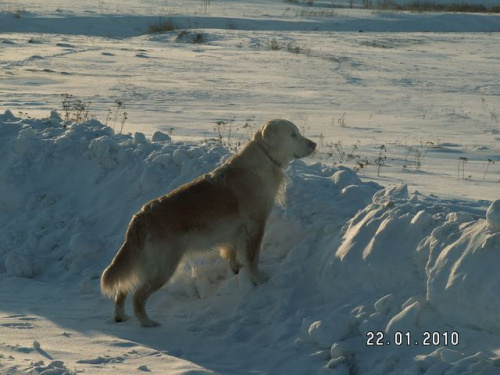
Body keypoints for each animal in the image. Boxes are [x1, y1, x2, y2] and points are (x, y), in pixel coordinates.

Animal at [100, 119, 316, 328]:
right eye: (293, 134)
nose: (314, 145)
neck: (264, 160)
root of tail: (139, 217)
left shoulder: (235, 232)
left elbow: (233, 254)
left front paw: (237, 271)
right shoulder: (255, 224)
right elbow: (253, 258)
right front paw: (258, 280)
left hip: (143, 263)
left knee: (122, 290)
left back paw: (120, 316)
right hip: (164, 266)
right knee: (138, 297)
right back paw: (147, 322)